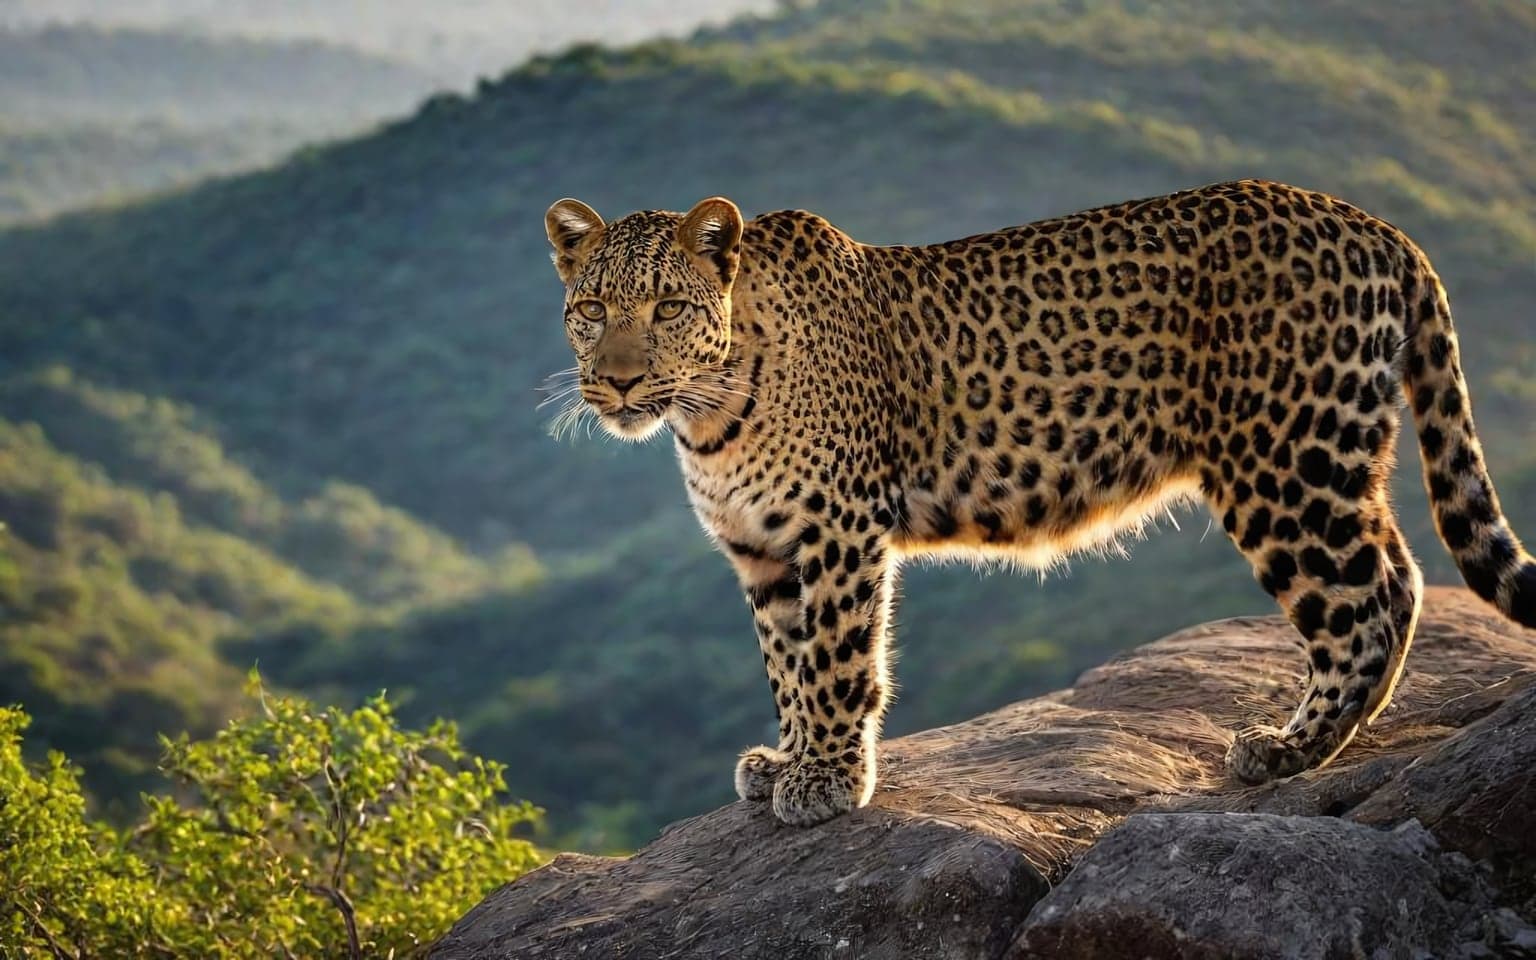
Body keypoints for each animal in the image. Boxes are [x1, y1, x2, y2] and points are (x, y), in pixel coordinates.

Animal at [543, 179, 1536, 827]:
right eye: (591, 309)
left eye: (669, 307)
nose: (618, 383)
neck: (707, 411)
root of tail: (1375, 224)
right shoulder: (763, 548)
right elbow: (785, 662)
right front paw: (788, 757)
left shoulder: (837, 531)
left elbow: (834, 660)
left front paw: (825, 779)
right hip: (1332, 455)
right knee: (1400, 575)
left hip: (1284, 461)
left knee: (1368, 598)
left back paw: (1291, 749)